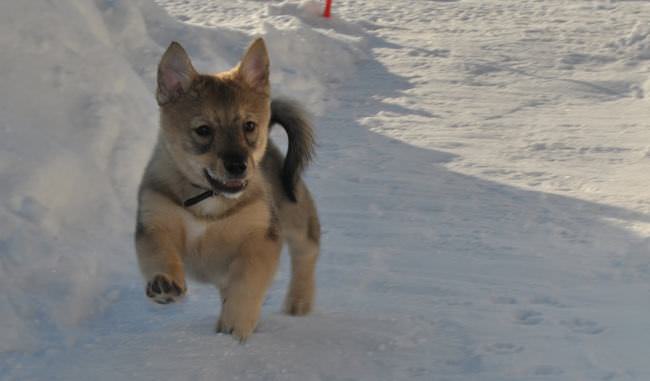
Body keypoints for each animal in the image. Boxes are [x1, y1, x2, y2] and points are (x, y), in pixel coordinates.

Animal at [134, 37, 318, 342]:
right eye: (203, 130)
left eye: (249, 126)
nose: (237, 166)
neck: (209, 201)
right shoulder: (154, 222)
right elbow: (159, 254)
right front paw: (165, 284)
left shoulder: (261, 238)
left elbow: (247, 283)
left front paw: (237, 324)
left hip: (296, 214)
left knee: (308, 252)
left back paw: (298, 302)